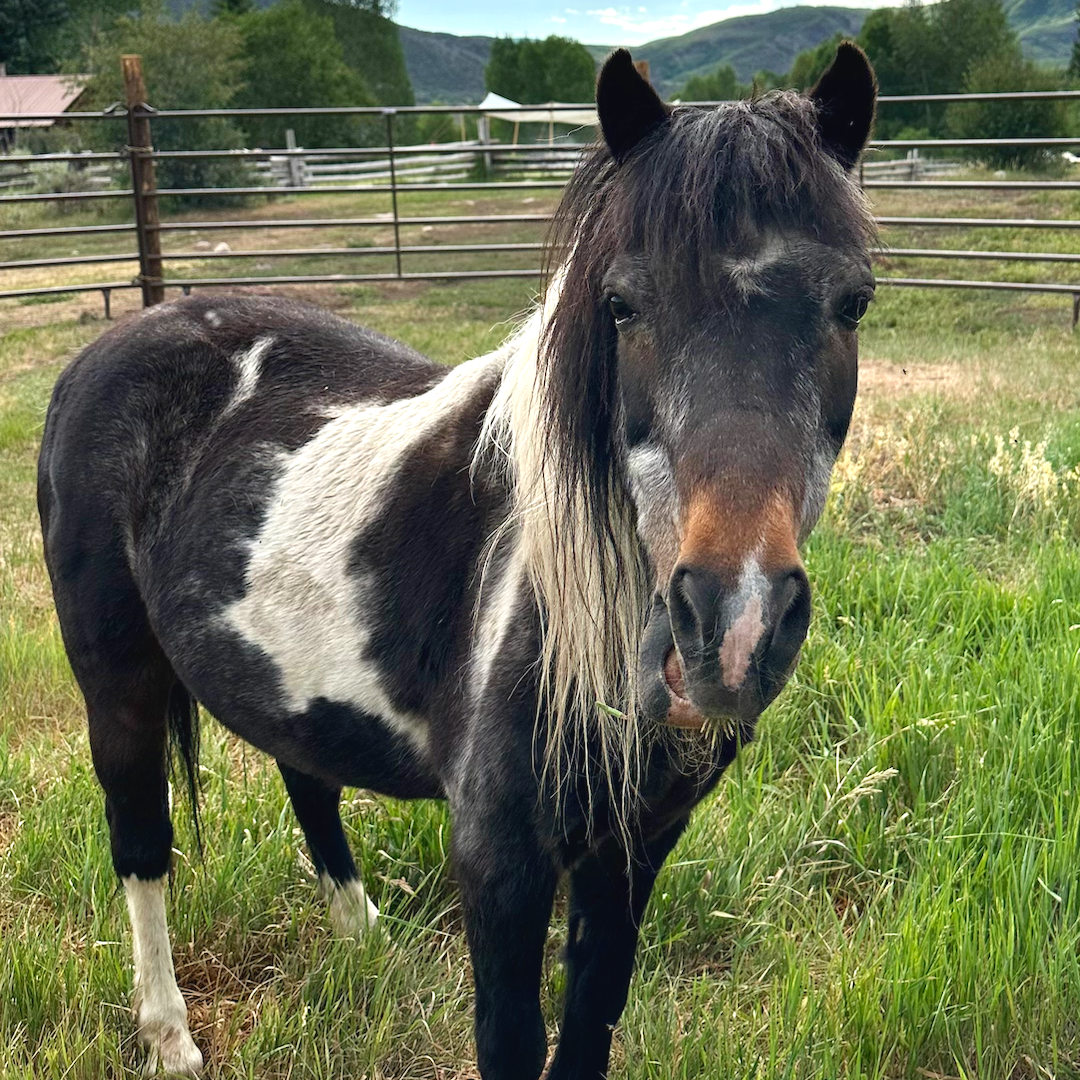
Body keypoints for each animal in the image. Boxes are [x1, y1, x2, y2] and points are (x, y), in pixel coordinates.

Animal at [37, 45, 877, 1079]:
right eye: (623, 306)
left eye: (852, 304)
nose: (735, 623)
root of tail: (101, 353)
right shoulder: (500, 863)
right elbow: (512, 1040)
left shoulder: (632, 853)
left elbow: (589, 1030)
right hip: (115, 682)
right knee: (141, 844)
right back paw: (170, 1036)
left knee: (307, 779)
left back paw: (370, 946)